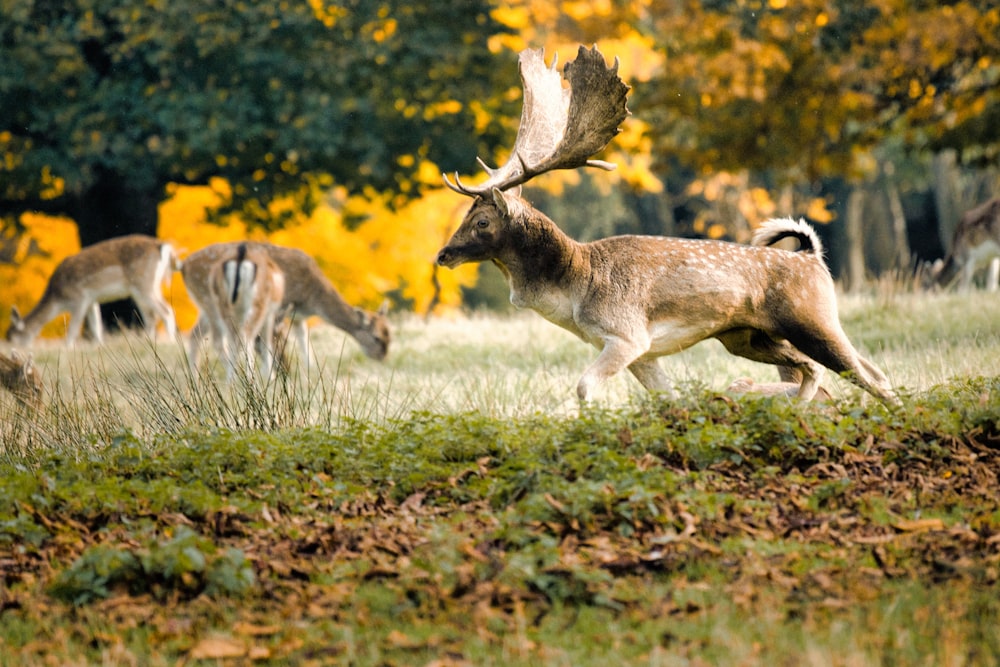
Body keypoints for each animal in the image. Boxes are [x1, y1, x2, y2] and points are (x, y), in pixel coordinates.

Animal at [5, 235, 180, 348]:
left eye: (11, 337)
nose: (10, 349)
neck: (58, 299)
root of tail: (162, 246)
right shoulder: (91, 302)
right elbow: (96, 326)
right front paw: (99, 347)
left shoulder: (79, 298)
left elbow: (74, 328)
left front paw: (67, 348)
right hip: (145, 288)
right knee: (151, 315)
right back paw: (147, 341)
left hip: (143, 284)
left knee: (166, 310)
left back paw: (171, 341)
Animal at [181, 244, 286, 380]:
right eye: (283, 339)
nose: (285, 368)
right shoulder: (270, 314)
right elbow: (265, 343)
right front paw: (270, 378)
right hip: (255, 305)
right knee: (242, 338)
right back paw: (249, 380)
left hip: (216, 305)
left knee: (202, 335)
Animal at [436, 45, 900, 408]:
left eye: (481, 221)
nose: (442, 254)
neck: (575, 291)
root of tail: (813, 256)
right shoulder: (643, 353)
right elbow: (668, 398)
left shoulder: (627, 335)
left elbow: (584, 387)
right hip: (748, 337)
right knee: (829, 370)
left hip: (812, 319)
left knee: (868, 377)